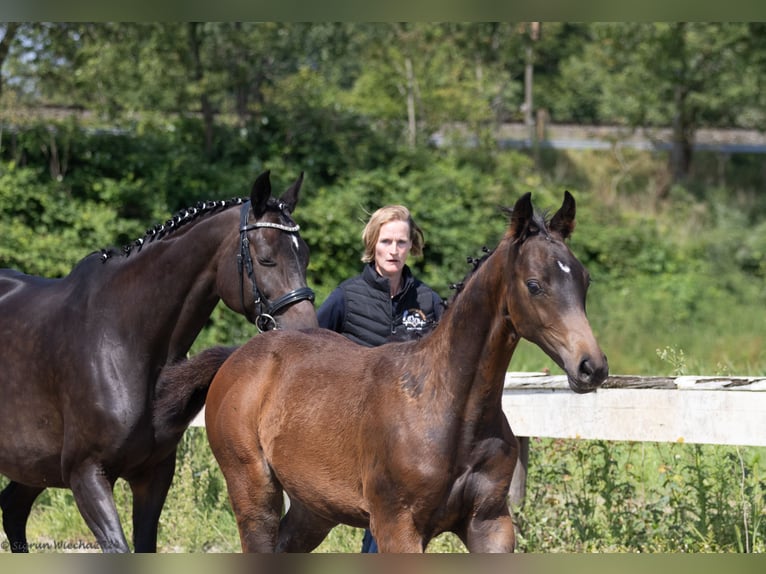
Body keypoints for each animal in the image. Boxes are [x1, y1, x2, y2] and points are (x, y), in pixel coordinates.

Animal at [0, 171, 318, 552]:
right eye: (267, 258)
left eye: (305, 258)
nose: (306, 332)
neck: (123, 340)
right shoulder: (86, 474)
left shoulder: (153, 475)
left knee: (12, 509)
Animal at [165, 189, 608, 552]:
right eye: (534, 285)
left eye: (585, 280)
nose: (592, 367)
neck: (450, 409)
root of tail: (239, 357)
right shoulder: (398, 526)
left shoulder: (491, 524)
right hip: (253, 492)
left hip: (314, 507)